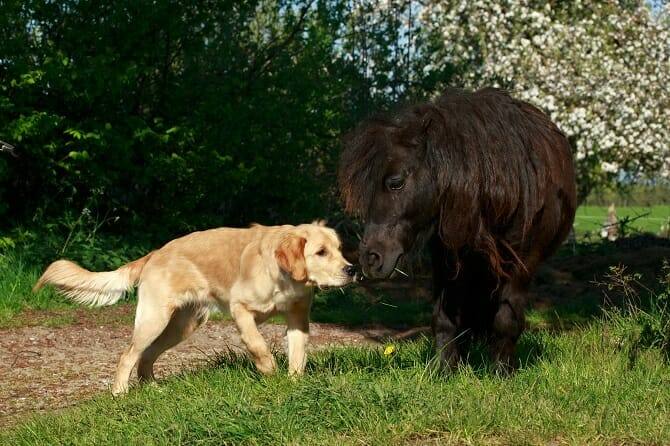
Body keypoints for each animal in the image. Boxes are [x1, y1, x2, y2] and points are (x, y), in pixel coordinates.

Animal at [32, 222, 356, 394]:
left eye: (340, 250)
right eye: (321, 252)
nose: (352, 270)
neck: (284, 277)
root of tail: (155, 253)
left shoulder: (298, 317)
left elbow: (298, 355)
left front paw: (293, 383)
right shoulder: (240, 308)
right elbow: (257, 343)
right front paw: (267, 369)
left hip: (181, 325)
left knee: (146, 357)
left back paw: (153, 388)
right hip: (154, 320)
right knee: (128, 355)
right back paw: (120, 393)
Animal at [338, 89, 580, 372]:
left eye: (395, 182)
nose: (370, 258)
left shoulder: (522, 263)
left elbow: (506, 319)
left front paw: (501, 371)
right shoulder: (447, 257)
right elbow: (444, 318)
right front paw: (445, 370)